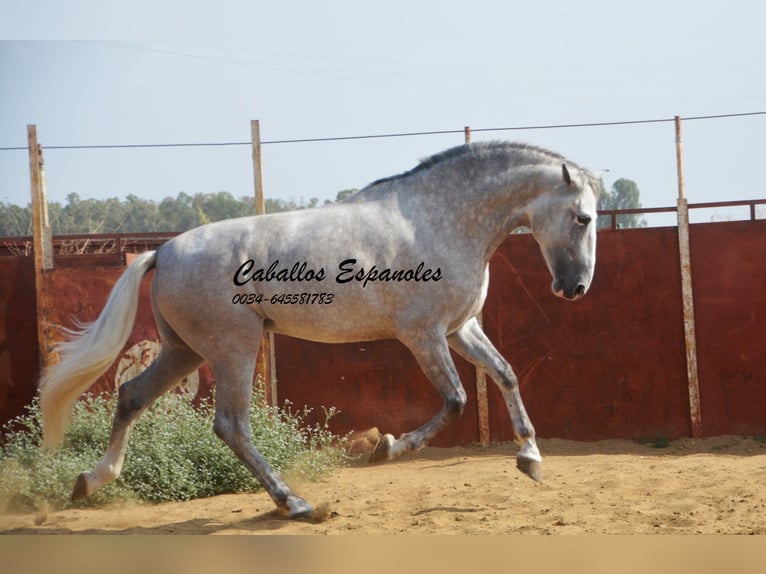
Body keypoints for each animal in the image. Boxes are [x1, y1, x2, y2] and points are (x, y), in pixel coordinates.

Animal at [39, 142, 604, 520]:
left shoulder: (460, 329)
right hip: (233, 349)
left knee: (132, 396)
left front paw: (530, 459)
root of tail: (164, 251)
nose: (575, 287)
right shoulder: (423, 335)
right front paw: (386, 448)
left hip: (184, 351)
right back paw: (296, 504)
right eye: (582, 217)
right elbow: (457, 401)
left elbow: (505, 374)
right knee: (231, 425)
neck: (439, 220)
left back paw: (90, 481)